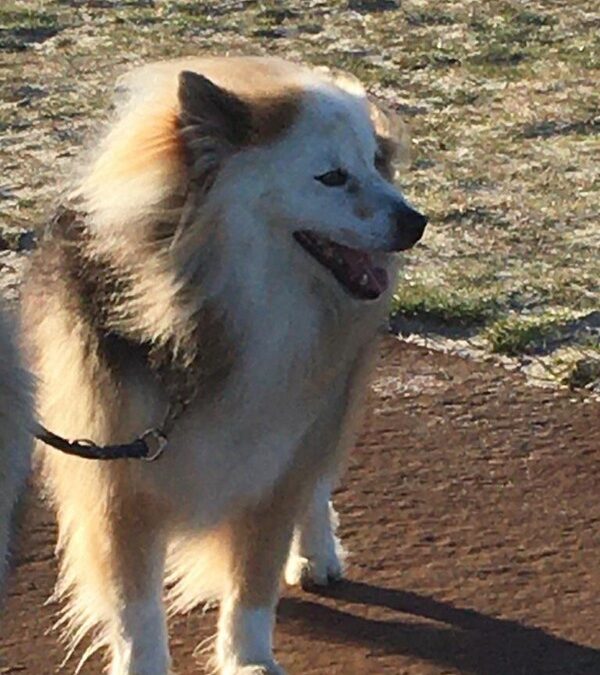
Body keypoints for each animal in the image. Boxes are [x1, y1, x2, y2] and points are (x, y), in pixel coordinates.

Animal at [21, 55, 426, 672]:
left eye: (375, 164)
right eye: (332, 177)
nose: (416, 222)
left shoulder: (275, 462)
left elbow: (253, 585)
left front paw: (249, 659)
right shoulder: (116, 477)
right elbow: (135, 608)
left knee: (316, 481)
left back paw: (317, 553)